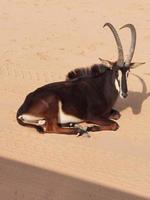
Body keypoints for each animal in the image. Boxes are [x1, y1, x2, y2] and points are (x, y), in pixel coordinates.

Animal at [16, 22, 144, 135]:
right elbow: (114, 125)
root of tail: (22, 109)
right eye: (116, 71)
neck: (101, 88)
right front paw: (91, 127)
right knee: (51, 128)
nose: (124, 93)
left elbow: (117, 115)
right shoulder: (91, 116)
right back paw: (77, 130)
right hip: (52, 103)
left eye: (128, 72)